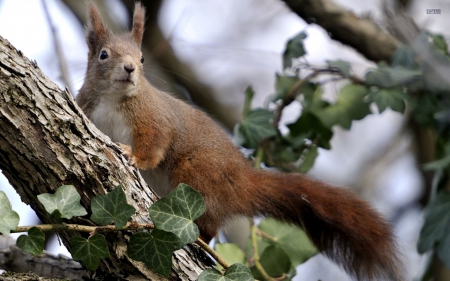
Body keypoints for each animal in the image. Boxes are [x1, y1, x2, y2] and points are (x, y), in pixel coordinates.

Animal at [75, 1, 402, 278]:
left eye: (142, 57)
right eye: (104, 54)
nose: (130, 68)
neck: (113, 98)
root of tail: (242, 180)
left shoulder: (155, 118)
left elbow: (156, 143)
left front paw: (134, 156)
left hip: (197, 175)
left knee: (207, 226)